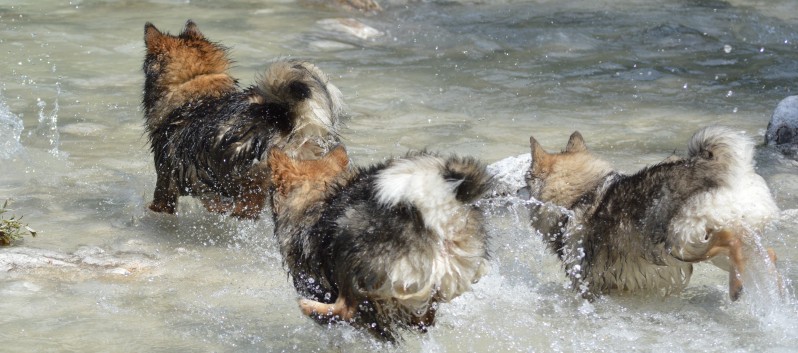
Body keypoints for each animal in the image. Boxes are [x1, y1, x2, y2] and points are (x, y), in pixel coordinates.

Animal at [528, 126, 780, 300]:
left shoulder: (586, 283)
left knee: (731, 240)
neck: (580, 196)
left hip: (679, 242)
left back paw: (737, 288)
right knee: (763, 252)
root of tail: (724, 169)